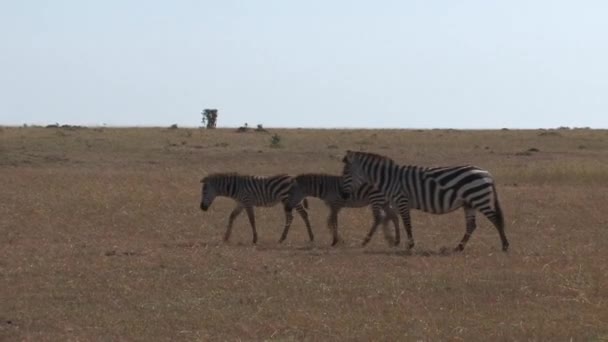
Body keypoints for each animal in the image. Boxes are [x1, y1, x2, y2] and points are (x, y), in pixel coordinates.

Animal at [340, 151, 510, 252]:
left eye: (346, 173)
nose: (343, 195)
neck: (390, 179)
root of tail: (487, 173)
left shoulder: (402, 200)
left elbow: (406, 223)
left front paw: (409, 245)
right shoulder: (395, 203)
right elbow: (393, 219)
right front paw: (394, 240)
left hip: (479, 198)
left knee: (496, 219)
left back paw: (505, 246)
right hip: (469, 203)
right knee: (471, 225)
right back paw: (459, 247)